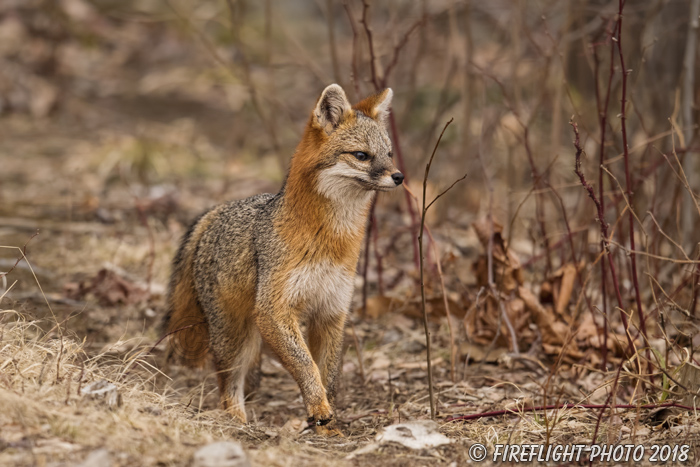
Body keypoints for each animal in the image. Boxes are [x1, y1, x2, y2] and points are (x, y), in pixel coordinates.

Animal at [163, 83, 402, 436]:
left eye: (389, 154)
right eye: (361, 155)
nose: (399, 177)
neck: (329, 240)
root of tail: (215, 211)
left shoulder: (332, 312)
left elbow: (327, 374)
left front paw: (326, 425)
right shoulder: (274, 311)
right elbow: (306, 366)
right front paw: (318, 409)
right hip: (236, 338)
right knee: (228, 387)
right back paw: (238, 423)